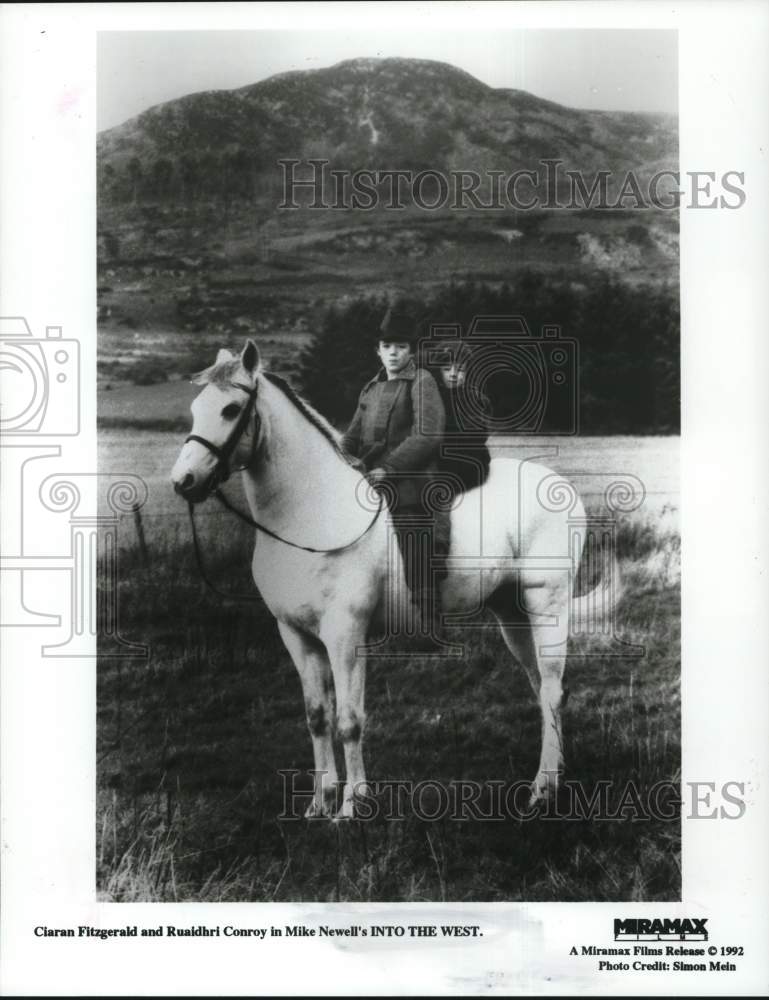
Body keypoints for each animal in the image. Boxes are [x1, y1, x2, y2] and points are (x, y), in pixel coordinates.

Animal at [171, 340, 616, 816]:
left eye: (231, 409)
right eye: (195, 408)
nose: (183, 482)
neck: (311, 512)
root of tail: (561, 486)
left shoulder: (345, 634)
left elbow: (349, 720)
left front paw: (352, 805)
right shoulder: (296, 635)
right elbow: (317, 717)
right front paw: (320, 803)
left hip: (546, 604)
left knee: (551, 689)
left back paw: (542, 788)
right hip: (511, 613)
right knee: (542, 686)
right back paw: (554, 775)